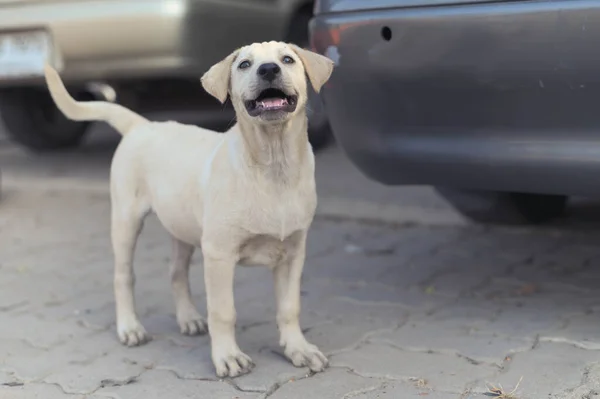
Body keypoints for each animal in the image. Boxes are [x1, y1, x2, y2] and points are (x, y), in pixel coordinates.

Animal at [44, 42, 336, 380]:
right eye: (244, 65)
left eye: (287, 59)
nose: (268, 70)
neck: (274, 166)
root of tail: (142, 125)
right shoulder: (219, 254)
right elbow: (223, 311)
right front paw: (228, 357)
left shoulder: (292, 253)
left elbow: (290, 308)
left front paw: (298, 349)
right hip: (126, 220)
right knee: (123, 276)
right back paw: (130, 327)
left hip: (181, 227)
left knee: (176, 273)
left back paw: (189, 318)